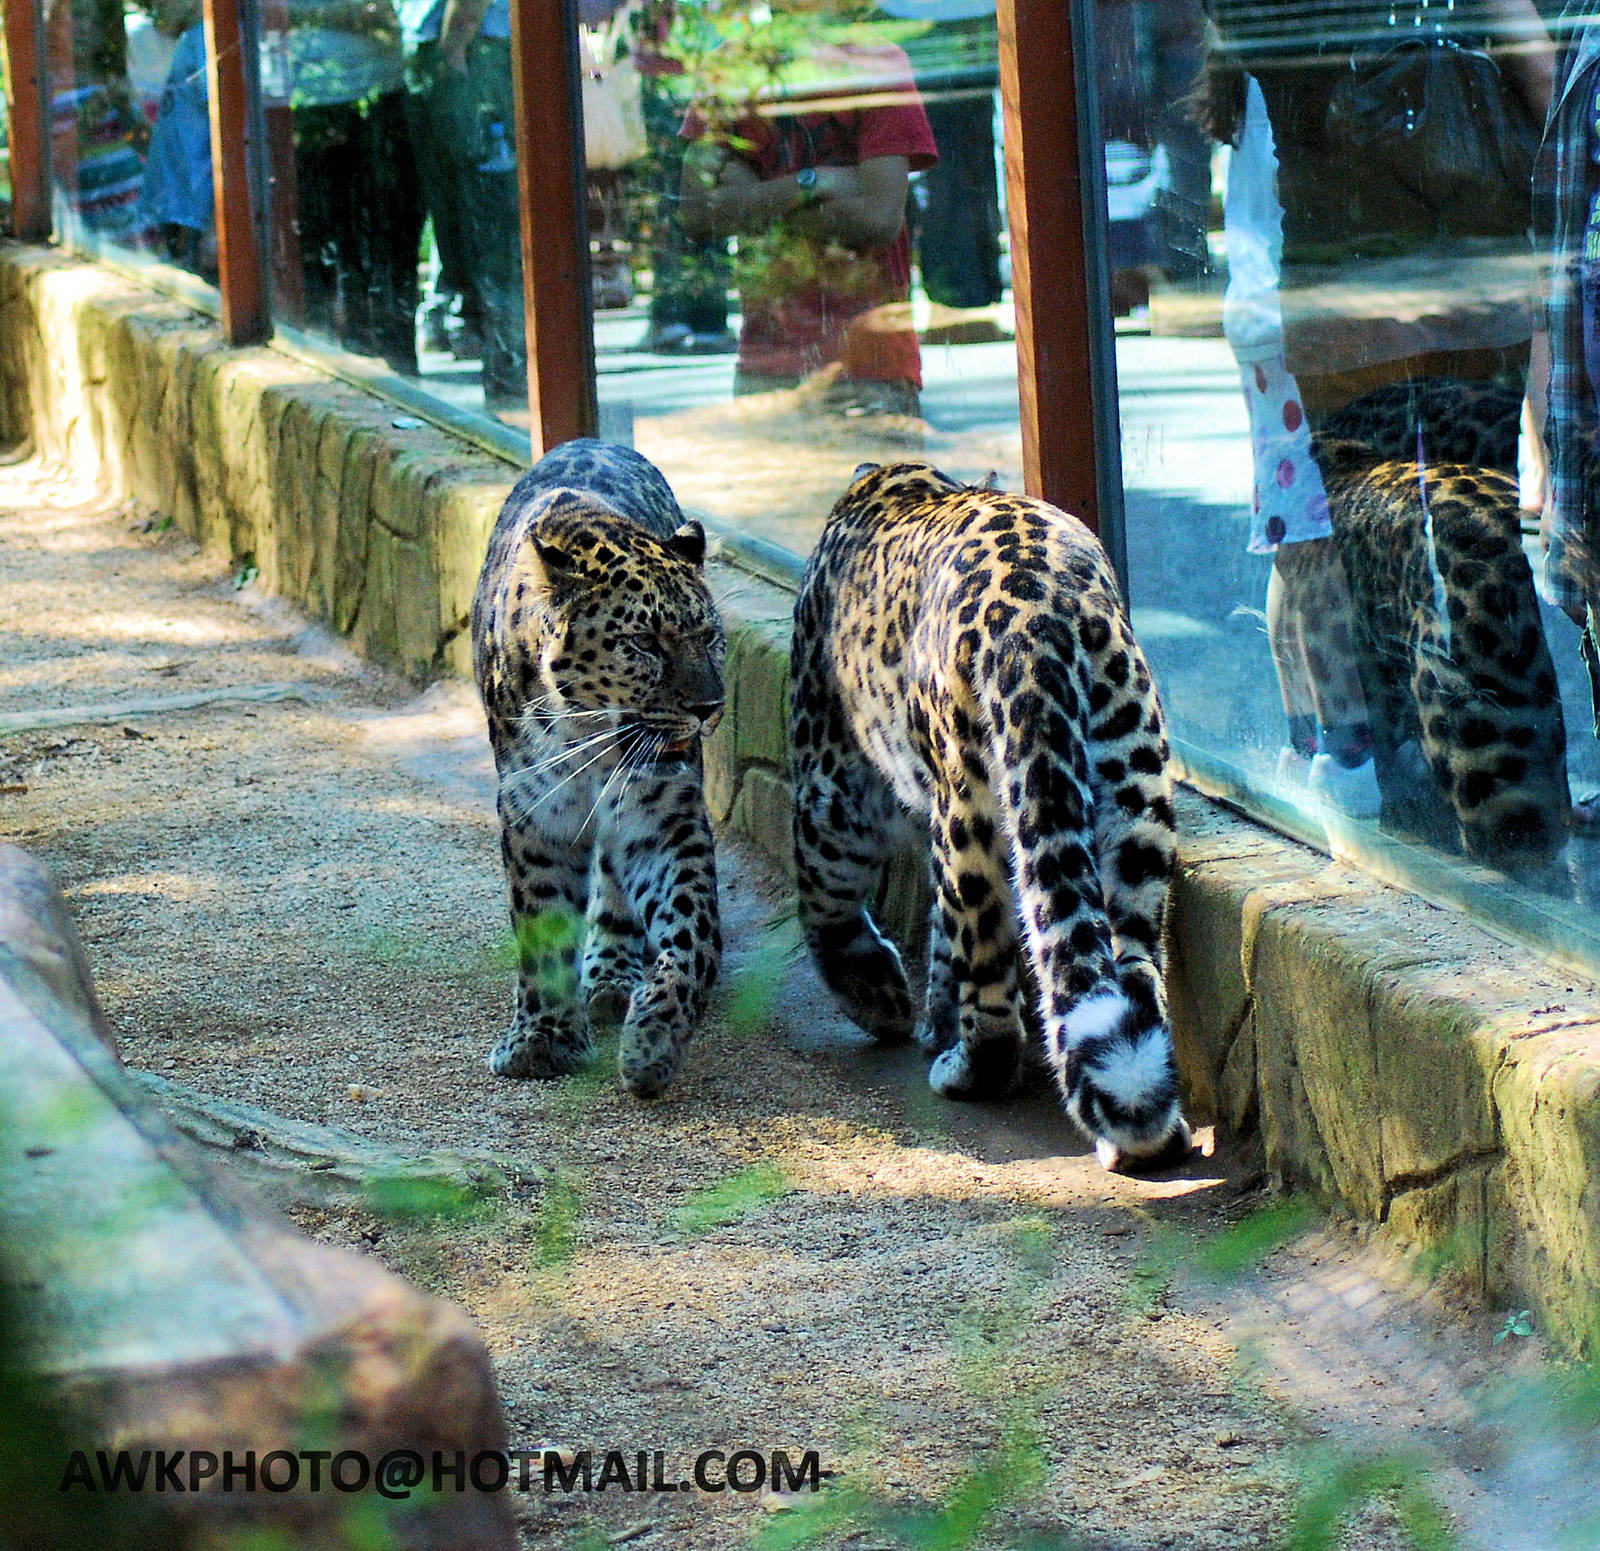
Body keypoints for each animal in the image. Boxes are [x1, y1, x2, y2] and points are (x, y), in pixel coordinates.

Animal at [471, 439, 725, 1098]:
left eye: (710, 636)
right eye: (643, 643)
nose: (710, 707)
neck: (590, 738)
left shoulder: (663, 816)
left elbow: (694, 930)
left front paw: (655, 1038)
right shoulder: (535, 816)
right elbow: (541, 924)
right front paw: (542, 1039)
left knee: (615, 885)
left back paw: (613, 974)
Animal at [789, 461, 1192, 1172]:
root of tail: (1038, 612)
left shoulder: (831, 783)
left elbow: (829, 901)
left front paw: (882, 1000)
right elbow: (938, 934)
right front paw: (929, 1014)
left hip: (967, 806)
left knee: (989, 967)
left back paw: (966, 1071)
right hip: (1134, 792)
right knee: (1133, 964)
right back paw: (1144, 1132)